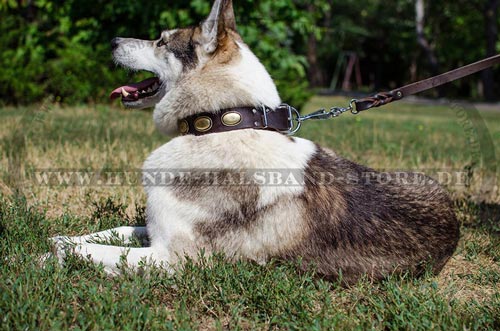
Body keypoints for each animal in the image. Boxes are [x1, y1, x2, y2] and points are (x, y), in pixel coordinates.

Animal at [51, 0, 460, 286]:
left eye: (161, 40)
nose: (112, 40)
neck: (220, 125)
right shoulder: (157, 232)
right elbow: (118, 231)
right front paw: (65, 236)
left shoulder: (175, 260)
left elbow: (98, 252)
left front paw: (53, 254)